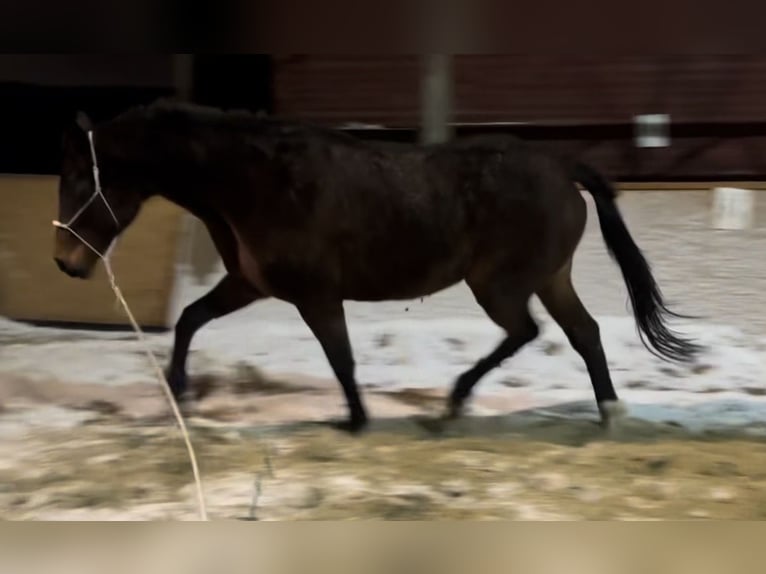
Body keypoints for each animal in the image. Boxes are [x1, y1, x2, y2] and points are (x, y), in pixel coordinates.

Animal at [53, 100, 701, 433]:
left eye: (82, 179)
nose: (64, 263)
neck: (258, 181)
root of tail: (563, 167)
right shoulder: (249, 283)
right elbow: (189, 317)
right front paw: (181, 394)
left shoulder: (315, 294)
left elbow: (340, 357)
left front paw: (356, 419)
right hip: (548, 277)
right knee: (583, 333)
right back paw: (608, 413)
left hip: (499, 284)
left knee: (527, 331)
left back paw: (454, 403)